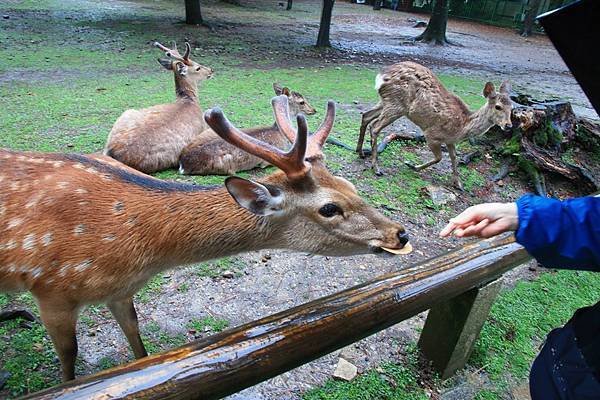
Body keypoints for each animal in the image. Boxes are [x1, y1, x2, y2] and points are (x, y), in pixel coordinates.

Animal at [0, 95, 412, 382]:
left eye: (351, 185)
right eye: (329, 208)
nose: (400, 233)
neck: (138, 254)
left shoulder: (120, 291)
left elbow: (138, 345)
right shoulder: (52, 291)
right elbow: (69, 362)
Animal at [104, 40, 214, 175]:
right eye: (197, 67)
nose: (211, 70)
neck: (188, 101)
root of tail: (113, 153)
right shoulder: (203, 127)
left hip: (125, 114)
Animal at [354, 61, 512, 189]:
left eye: (512, 107)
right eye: (498, 106)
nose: (508, 125)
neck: (462, 127)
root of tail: (381, 76)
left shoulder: (449, 141)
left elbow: (454, 157)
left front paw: (458, 184)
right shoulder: (431, 134)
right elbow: (439, 158)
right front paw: (413, 166)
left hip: (386, 101)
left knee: (365, 115)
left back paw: (360, 152)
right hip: (396, 104)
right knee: (375, 126)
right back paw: (376, 168)